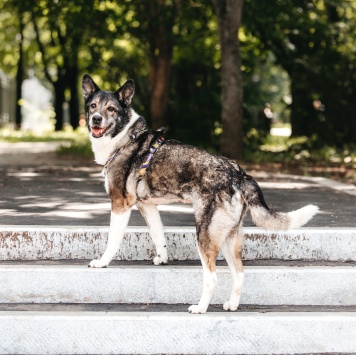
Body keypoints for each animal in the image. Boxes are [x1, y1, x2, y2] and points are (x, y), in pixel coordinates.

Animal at [82, 73, 318, 314]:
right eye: (93, 106)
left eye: (111, 109)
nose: (96, 119)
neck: (125, 138)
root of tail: (239, 174)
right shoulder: (147, 205)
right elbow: (158, 234)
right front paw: (162, 258)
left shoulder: (120, 203)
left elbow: (113, 240)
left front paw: (102, 262)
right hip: (229, 238)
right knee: (239, 274)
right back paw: (232, 304)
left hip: (204, 234)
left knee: (212, 277)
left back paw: (200, 308)